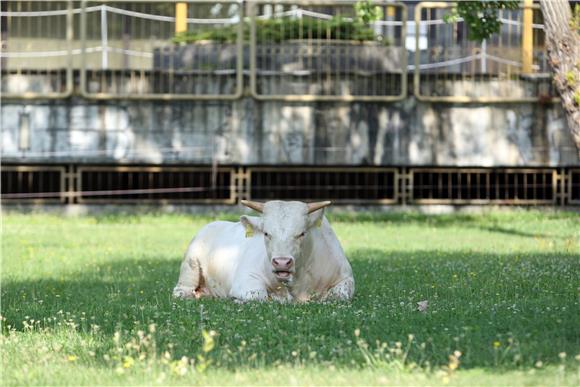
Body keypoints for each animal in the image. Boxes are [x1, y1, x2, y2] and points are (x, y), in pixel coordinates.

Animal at [172, 200, 354, 304]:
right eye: (266, 233)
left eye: (302, 233)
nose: (282, 262)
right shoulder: (245, 280)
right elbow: (260, 296)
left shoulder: (346, 278)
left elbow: (338, 295)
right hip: (190, 264)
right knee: (181, 290)